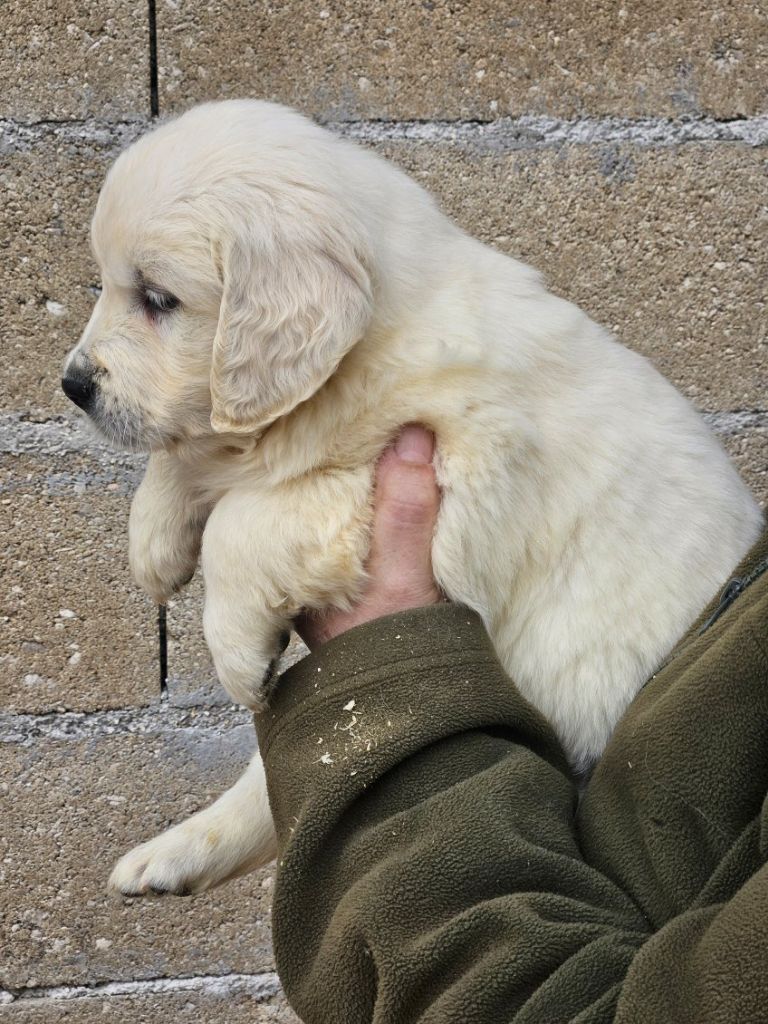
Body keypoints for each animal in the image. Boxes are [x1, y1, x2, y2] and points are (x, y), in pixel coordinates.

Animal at [63, 97, 765, 897]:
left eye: (158, 299)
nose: (73, 385)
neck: (365, 347)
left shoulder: (447, 464)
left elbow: (244, 518)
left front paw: (234, 650)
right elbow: (197, 452)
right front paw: (152, 541)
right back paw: (169, 857)